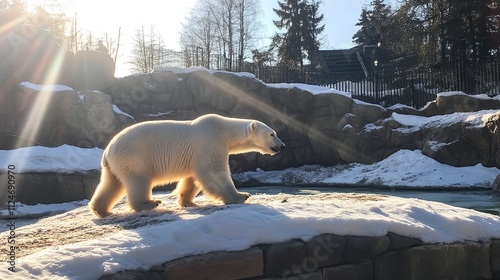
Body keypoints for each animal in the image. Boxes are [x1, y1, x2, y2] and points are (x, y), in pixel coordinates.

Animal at [89, 113, 286, 217]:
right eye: (272, 134)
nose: (282, 146)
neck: (223, 131)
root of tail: (107, 151)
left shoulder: (195, 154)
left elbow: (193, 177)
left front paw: (187, 201)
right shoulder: (210, 142)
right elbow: (214, 172)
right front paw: (241, 195)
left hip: (115, 165)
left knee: (111, 183)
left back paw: (102, 210)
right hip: (135, 156)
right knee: (139, 180)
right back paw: (150, 203)